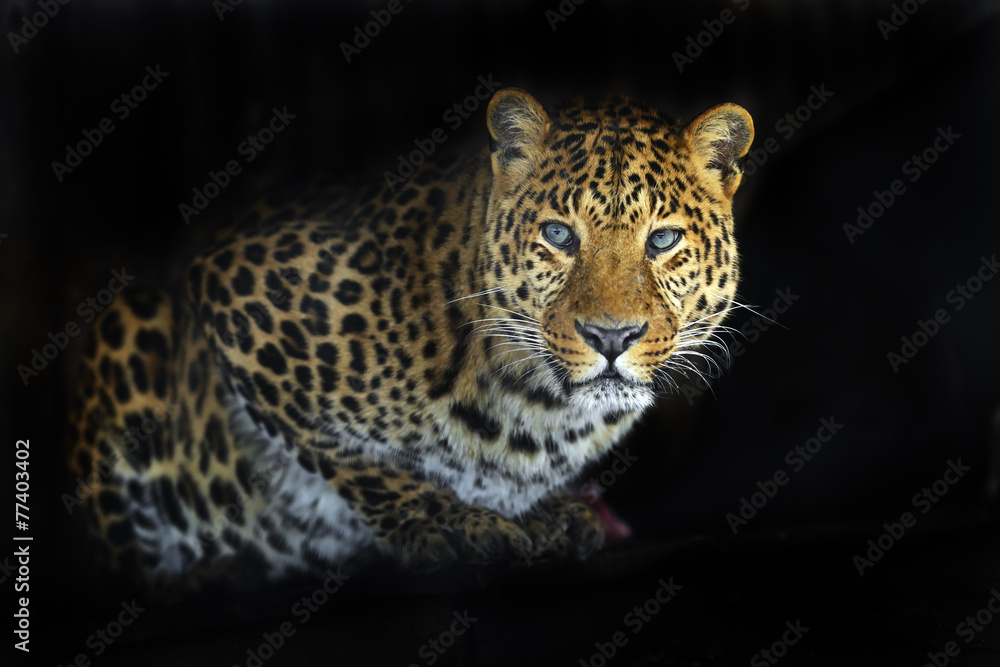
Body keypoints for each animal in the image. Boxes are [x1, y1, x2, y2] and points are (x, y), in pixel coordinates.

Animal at [66, 87, 754, 591]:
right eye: (559, 234)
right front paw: (446, 521)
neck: (539, 407)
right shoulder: (233, 285)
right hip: (129, 322)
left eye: (663, 240)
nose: (612, 336)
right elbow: (349, 455)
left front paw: (540, 512)